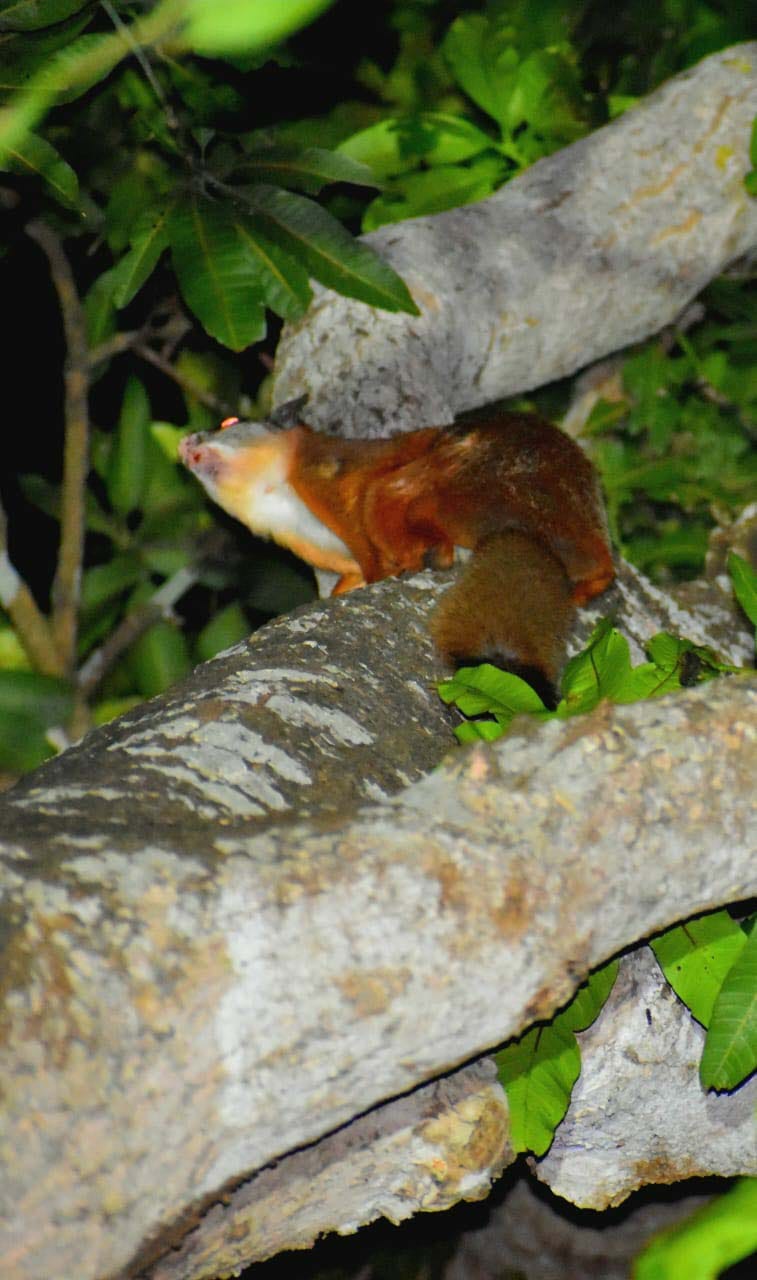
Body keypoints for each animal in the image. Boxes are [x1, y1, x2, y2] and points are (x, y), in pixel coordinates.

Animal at [179, 412, 615, 705]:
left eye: (228, 422)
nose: (185, 444)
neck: (273, 491)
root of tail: (536, 533)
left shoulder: (317, 465)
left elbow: (362, 509)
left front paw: (385, 568)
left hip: (486, 480)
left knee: (390, 490)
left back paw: (426, 550)